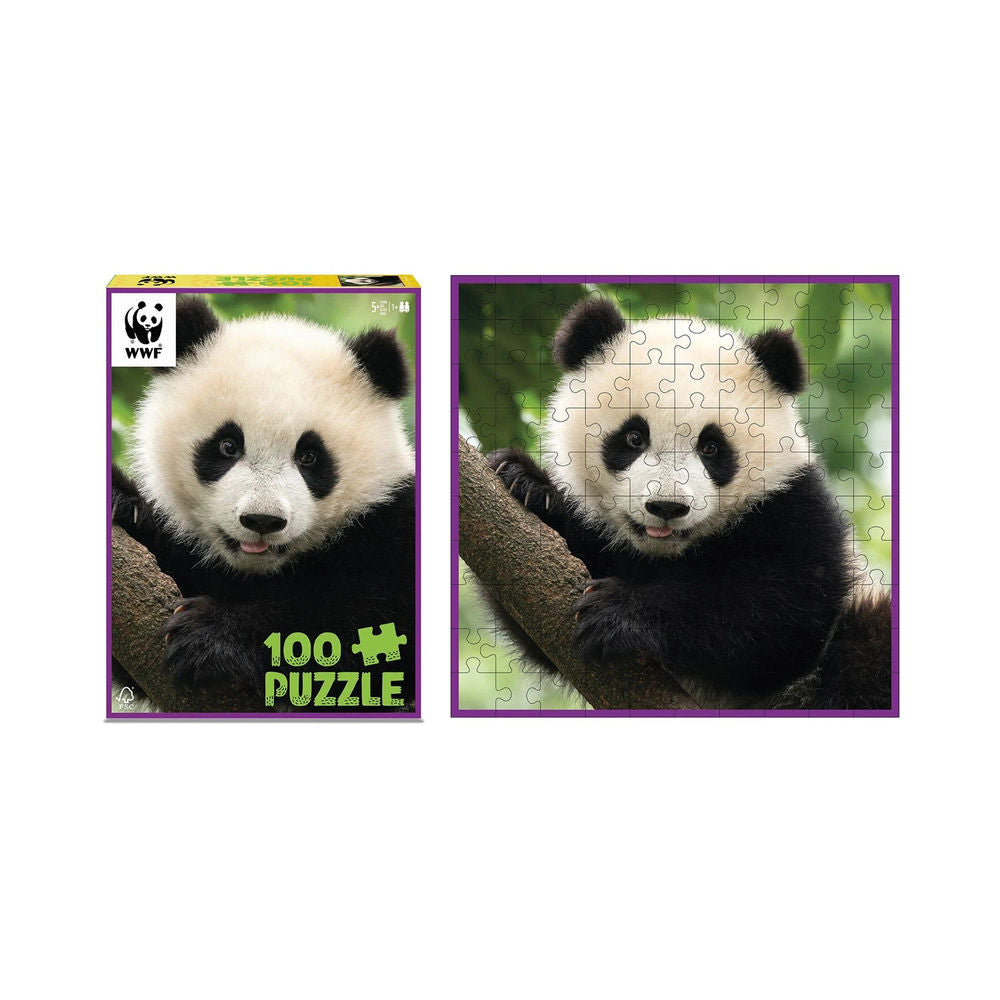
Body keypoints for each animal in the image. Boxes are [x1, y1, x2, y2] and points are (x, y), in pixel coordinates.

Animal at [111, 296, 416, 711]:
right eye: (227, 445)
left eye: (309, 457)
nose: (262, 520)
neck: (259, 571)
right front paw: (124, 504)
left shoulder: (393, 523)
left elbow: (370, 626)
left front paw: (210, 638)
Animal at [486, 298, 891, 710]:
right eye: (634, 437)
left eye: (711, 447)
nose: (667, 507)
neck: (666, 554)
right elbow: (537, 617)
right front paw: (527, 484)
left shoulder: (793, 506)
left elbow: (783, 613)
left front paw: (619, 614)